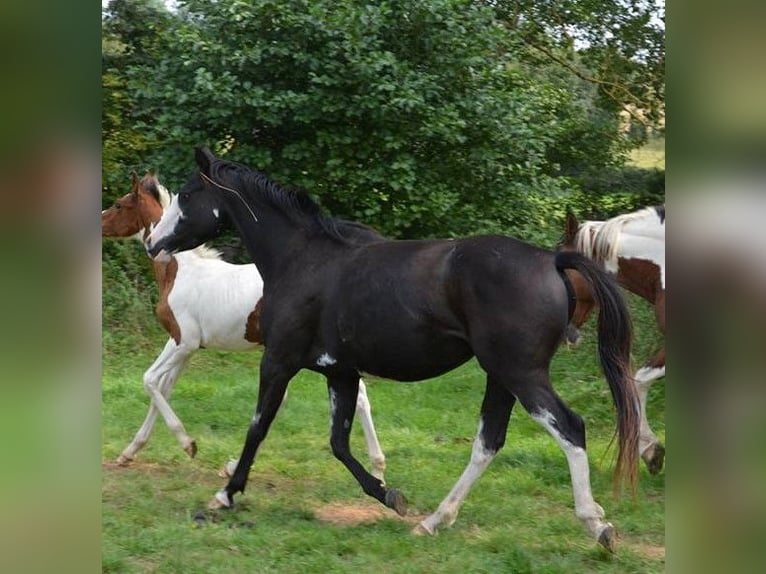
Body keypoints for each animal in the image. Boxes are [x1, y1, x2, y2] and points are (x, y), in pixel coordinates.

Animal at [101, 173, 388, 480]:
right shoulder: (186, 346)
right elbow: (164, 388)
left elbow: (150, 380)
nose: (100, 221)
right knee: (355, 397)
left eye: (118, 205)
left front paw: (188, 444)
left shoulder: (184, 341)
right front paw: (129, 452)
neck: (179, 270)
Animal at [147, 150, 644, 552]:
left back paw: (597, 525)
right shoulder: (340, 373)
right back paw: (434, 521)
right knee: (488, 443)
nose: (154, 243)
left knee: (569, 428)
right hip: (501, 377)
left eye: (187, 193)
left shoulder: (279, 362)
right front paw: (389, 495)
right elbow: (339, 443)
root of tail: (551, 259)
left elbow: (258, 428)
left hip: (521, 373)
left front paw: (225, 495)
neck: (303, 260)